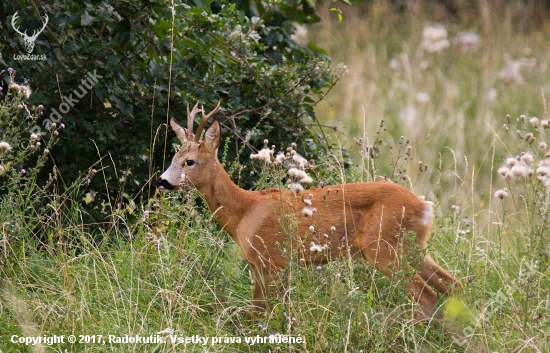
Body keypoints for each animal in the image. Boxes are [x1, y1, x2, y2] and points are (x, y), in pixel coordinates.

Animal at [157, 102, 464, 320]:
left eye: (190, 161)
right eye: (173, 156)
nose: (162, 181)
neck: (244, 210)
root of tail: (425, 207)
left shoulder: (273, 259)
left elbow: (262, 312)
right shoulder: (261, 264)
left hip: (383, 246)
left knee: (426, 295)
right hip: (412, 246)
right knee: (453, 285)